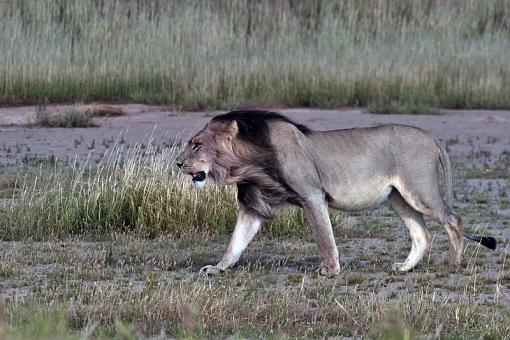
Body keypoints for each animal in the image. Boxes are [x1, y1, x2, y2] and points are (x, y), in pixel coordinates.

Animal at [177, 111, 496, 276]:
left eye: (196, 144)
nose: (178, 163)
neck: (249, 163)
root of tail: (432, 137)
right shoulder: (254, 205)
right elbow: (236, 241)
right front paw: (217, 268)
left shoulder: (312, 195)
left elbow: (324, 237)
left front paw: (330, 270)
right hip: (398, 197)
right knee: (423, 234)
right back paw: (404, 268)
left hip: (420, 189)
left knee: (454, 220)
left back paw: (455, 264)